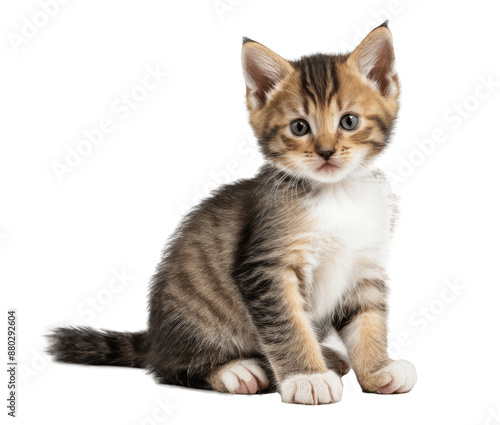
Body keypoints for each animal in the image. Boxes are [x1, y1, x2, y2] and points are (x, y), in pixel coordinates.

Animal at [48, 22, 418, 404]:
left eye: (349, 121)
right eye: (300, 127)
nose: (326, 151)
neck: (336, 193)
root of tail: (154, 339)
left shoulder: (364, 266)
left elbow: (369, 319)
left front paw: (377, 369)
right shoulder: (265, 267)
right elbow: (288, 324)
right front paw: (307, 376)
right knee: (170, 367)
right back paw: (237, 370)